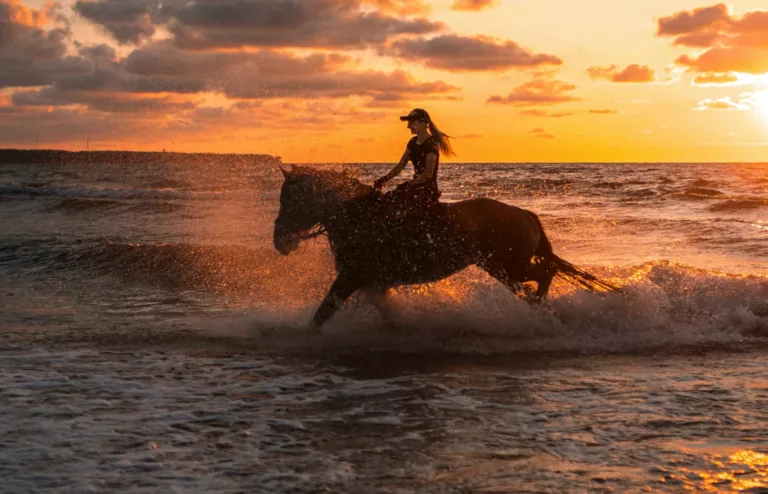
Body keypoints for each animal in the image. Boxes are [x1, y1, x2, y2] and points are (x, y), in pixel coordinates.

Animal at [272, 166, 616, 328]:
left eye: (289, 199)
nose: (279, 241)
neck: (358, 217)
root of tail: (525, 214)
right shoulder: (374, 284)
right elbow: (386, 313)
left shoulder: (351, 277)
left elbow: (323, 312)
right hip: (502, 269)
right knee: (543, 274)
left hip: (507, 267)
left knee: (547, 272)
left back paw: (542, 308)